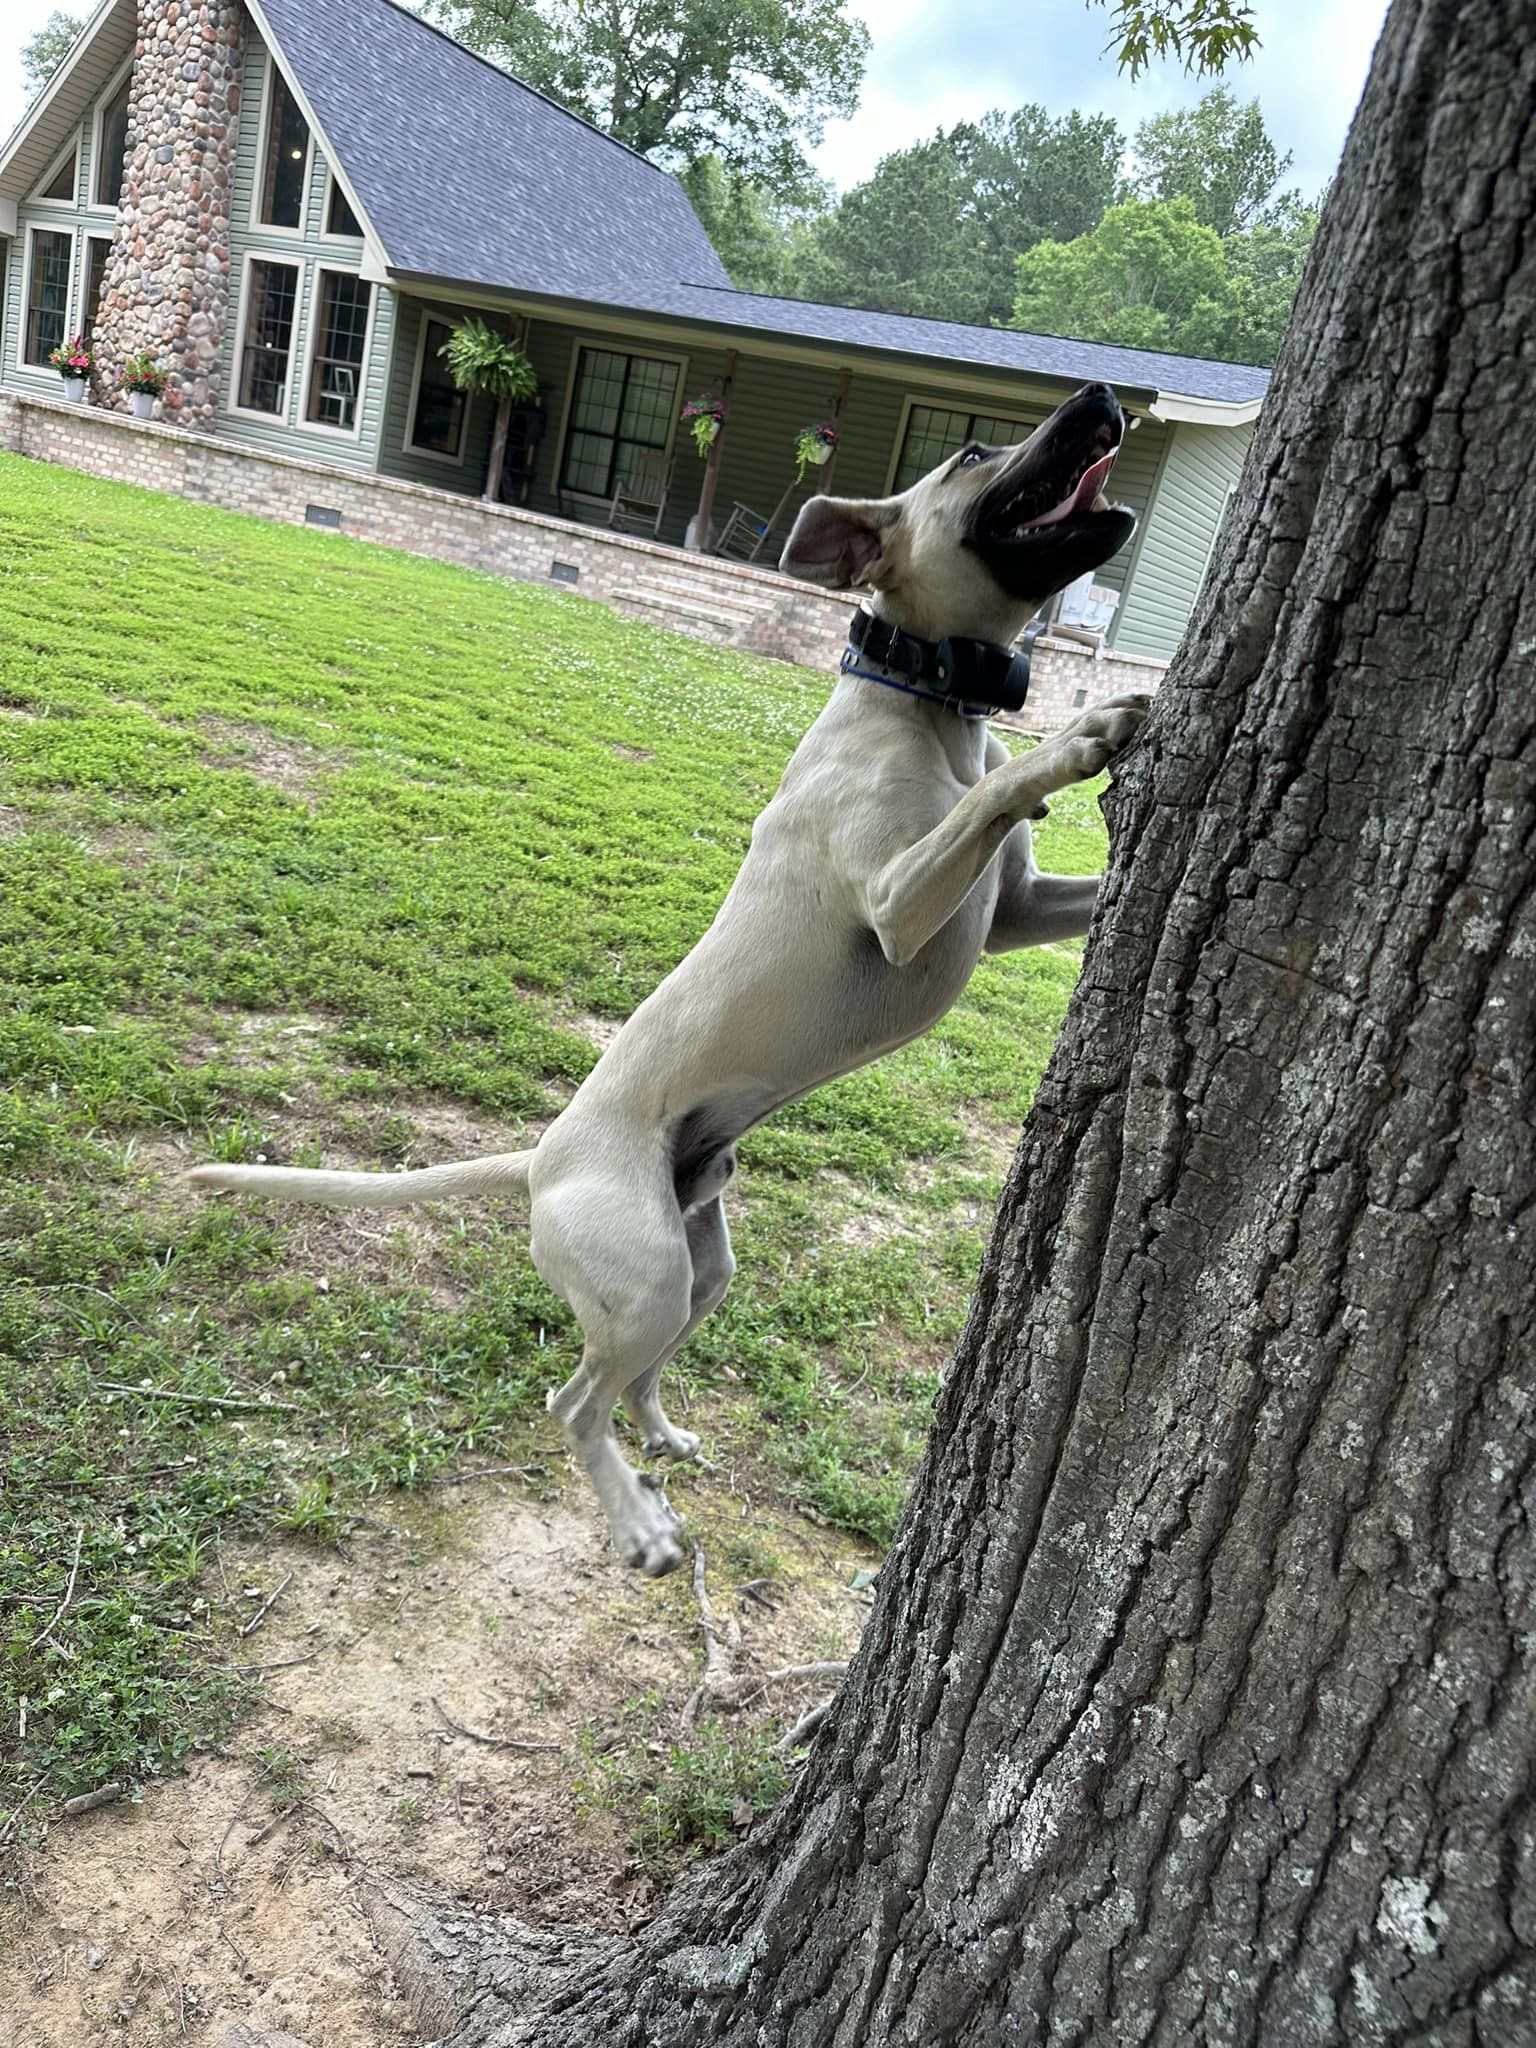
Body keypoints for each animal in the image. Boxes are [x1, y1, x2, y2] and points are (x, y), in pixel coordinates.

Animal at [189, 380, 1155, 1564]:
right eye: (974, 452)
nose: (1104, 397)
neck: (923, 704)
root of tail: (540, 1161)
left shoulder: (1008, 913)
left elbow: (1046, 878)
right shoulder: (899, 904)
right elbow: (994, 794)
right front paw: (1079, 733)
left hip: (702, 1267)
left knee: (637, 1377)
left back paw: (662, 1433)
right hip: (647, 1275)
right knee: (573, 1400)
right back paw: (637, 1520)